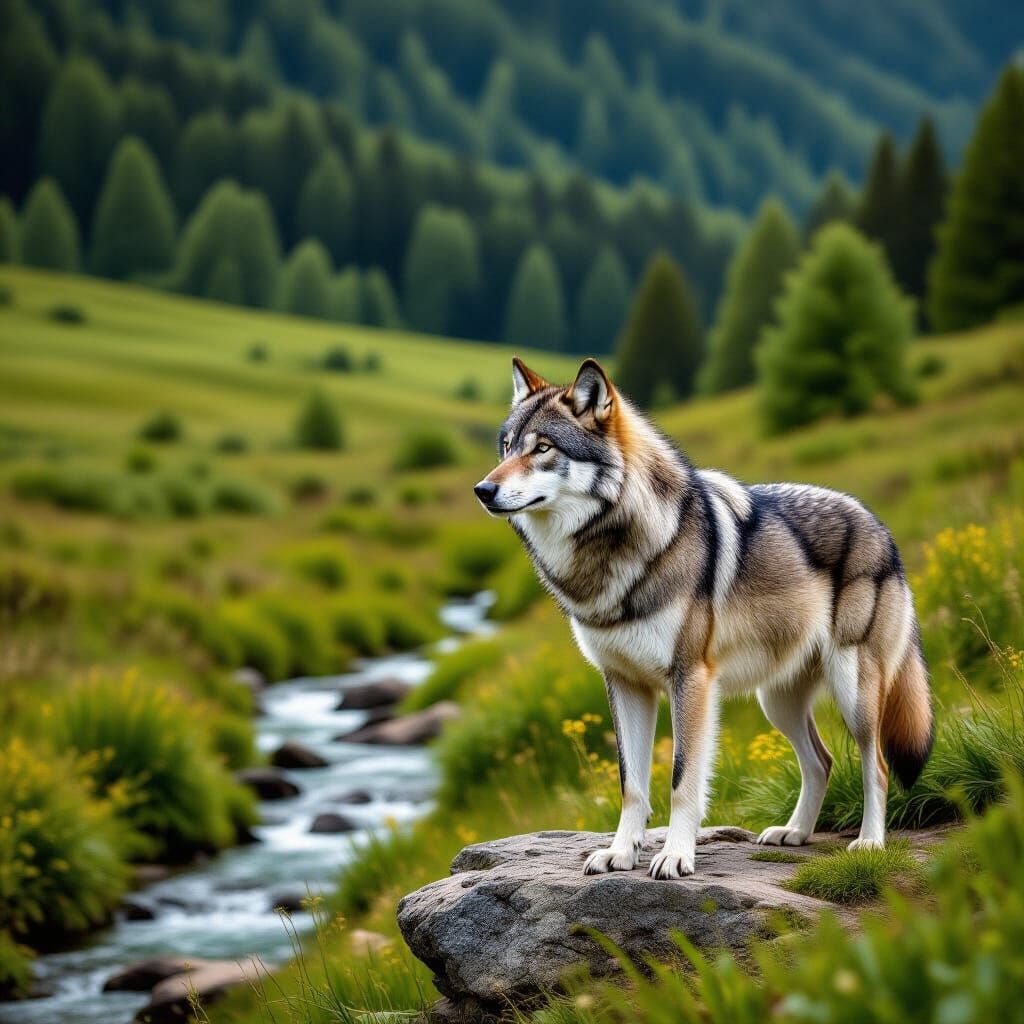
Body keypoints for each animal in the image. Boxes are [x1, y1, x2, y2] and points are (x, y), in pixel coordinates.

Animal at [473, 357, 933, 879]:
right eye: (507, 447)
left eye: (543, 448)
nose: (483, 489)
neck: (612, 551)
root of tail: (879, 524)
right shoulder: (624, 683)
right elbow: (631, 784)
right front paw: (620, 853)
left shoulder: (690, 679)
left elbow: (681, 780)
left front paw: (675, 855)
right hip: (777, 702)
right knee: (823, 760)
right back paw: (794, 833)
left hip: (853, 691)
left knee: (876, 765)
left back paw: (870, 842)